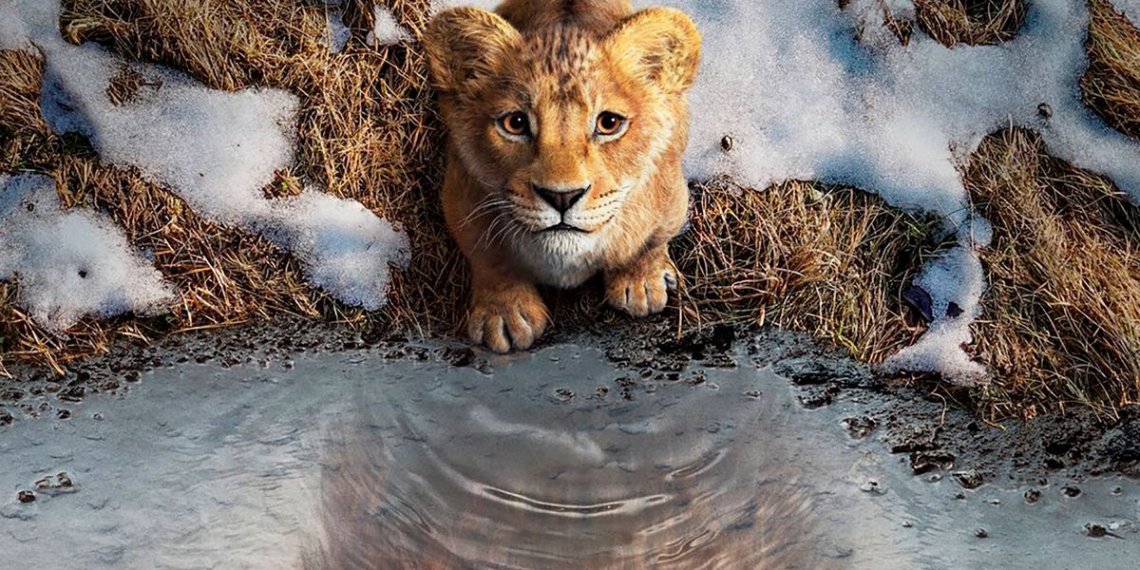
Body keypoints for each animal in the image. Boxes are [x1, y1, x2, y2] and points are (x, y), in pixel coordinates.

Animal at [424, 0, 701, 353]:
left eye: (609, 123)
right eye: (515, 123)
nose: (561, 196)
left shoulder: (671, 195)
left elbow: (650, 242)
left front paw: (641, 283)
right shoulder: (460, 194)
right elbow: (489, 256)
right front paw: (505, 314)